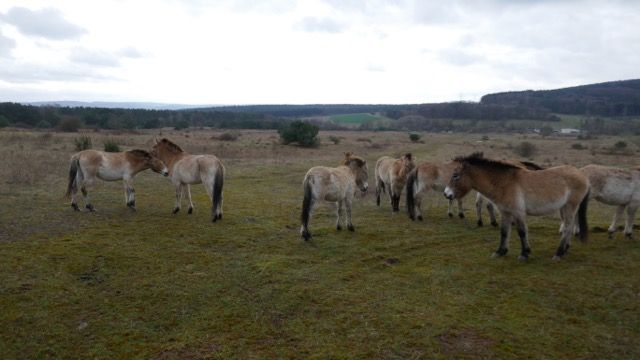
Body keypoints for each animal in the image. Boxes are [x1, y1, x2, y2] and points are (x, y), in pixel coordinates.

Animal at [444, 153, 592, 260]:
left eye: (455, 175)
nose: (446, 194)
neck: (505, 182)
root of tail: (582, 175)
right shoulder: (505, 212)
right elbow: (504, 232)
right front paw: (500, 252)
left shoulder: (518, 212)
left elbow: (522, 232)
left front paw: (524, 254)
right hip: (566, 208)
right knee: (569, 227)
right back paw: (565, 249)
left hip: (570, 207)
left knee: (567, 228)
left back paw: (559, 253)